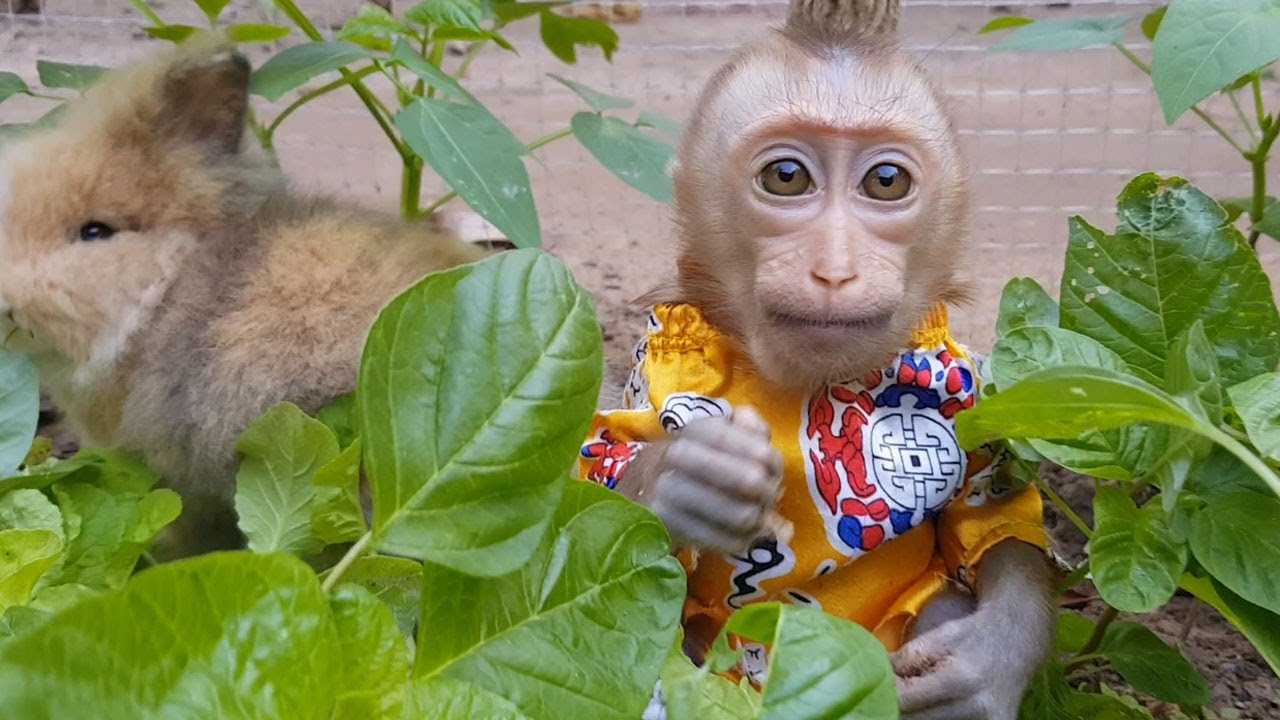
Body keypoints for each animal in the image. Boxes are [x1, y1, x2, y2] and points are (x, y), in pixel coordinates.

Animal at [586, 0, 1054, 712]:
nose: (834, 270)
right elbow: (596, 469)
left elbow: (991, 509)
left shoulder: (964, 373)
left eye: (886, 182)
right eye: (787, 177)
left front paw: (992, 658)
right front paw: (685, 478)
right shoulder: (654, 362)